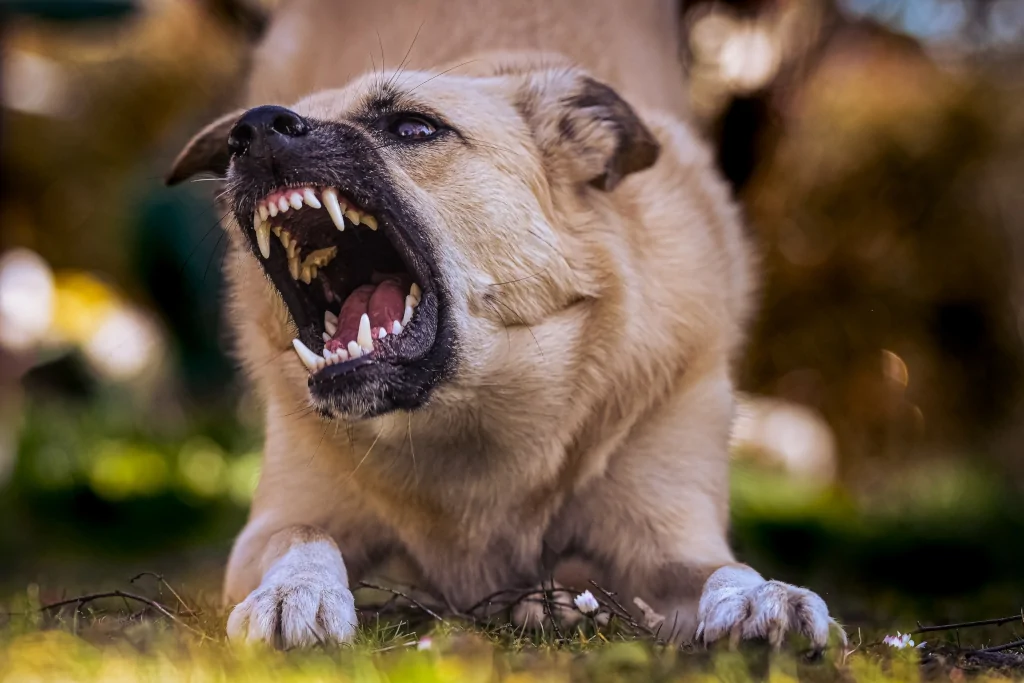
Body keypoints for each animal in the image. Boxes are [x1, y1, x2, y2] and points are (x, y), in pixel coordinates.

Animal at [167, 0, 843, 651]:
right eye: (243, 134)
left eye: (413, 127)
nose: (252, 129)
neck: (468, 418)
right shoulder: (275, 523)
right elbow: (305, 535)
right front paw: (295, 593)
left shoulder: (671, 539)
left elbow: (723, 568)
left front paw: (762, 597)